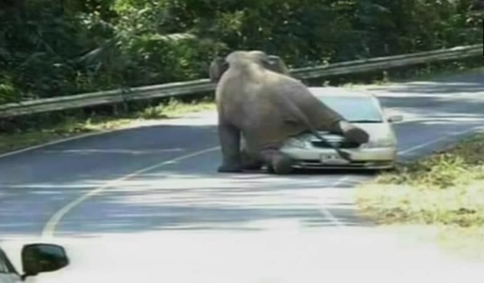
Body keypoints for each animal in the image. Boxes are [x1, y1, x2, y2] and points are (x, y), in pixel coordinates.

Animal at [209, 50, 370, 175]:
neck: (246, 60)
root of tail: (290, 105)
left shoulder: (222, 101)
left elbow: (226, 129)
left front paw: (225, 170)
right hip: (311, 104)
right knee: (336, 120)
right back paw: (359, 135)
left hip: (263, 125)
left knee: (261, 150)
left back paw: (276, 167)